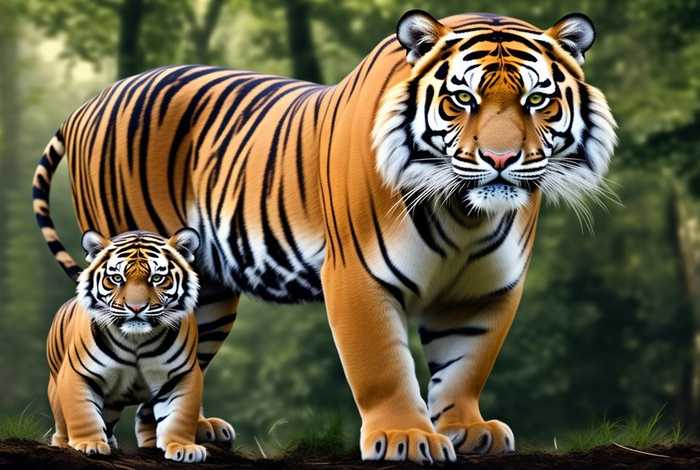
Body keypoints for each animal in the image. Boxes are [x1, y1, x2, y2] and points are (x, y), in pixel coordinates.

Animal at [46, 228, 209, 462]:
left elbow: (180, 414)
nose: (136, 307)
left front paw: (183, 447)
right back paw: (64, 442)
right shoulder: (77, 373)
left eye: (157, 278)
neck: (136, 340)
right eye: (116, 278)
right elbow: (83, 412)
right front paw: (89, 444)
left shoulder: (180, 375)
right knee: (62, 420)